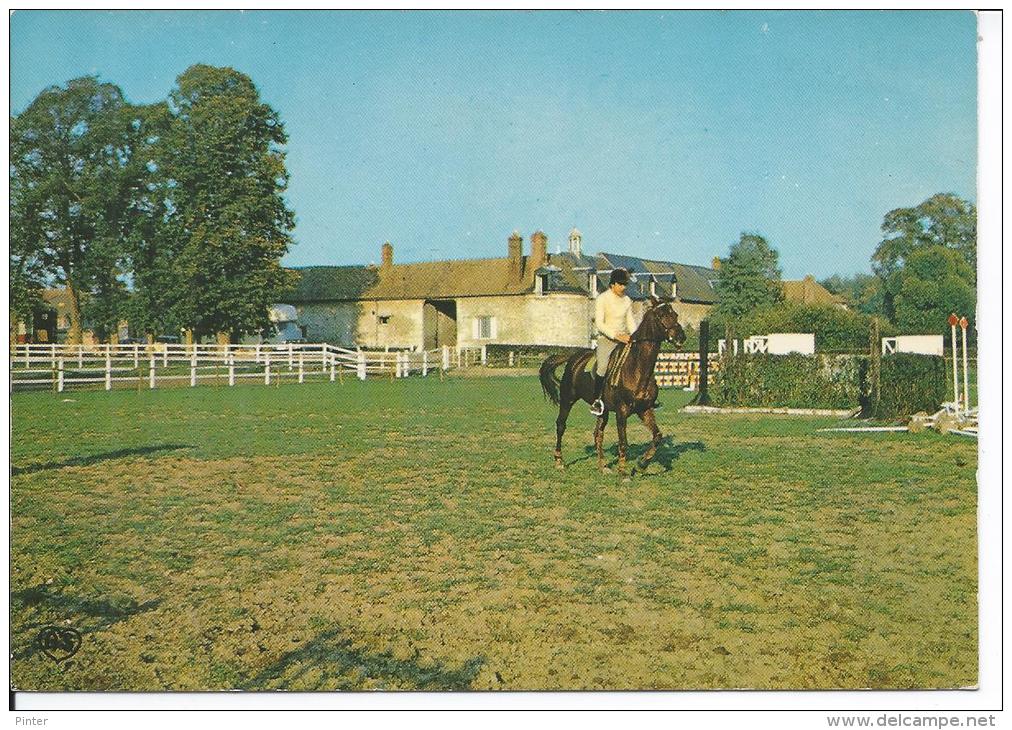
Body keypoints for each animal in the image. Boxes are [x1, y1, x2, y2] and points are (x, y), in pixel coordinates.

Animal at [538, 297, 688, 475]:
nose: (680, 337)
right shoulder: (621, 412)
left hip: (603, 412)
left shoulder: (644, 409)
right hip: (567, 400)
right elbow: (623, 442)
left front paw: (642, 464)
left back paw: (603, 466)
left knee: (598, 433)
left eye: (675, 314)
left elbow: (657, 436)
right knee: (561, 425)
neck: (637, 368)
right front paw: (623, 472)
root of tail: (574, 357)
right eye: (660, 315)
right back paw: (559, 461)